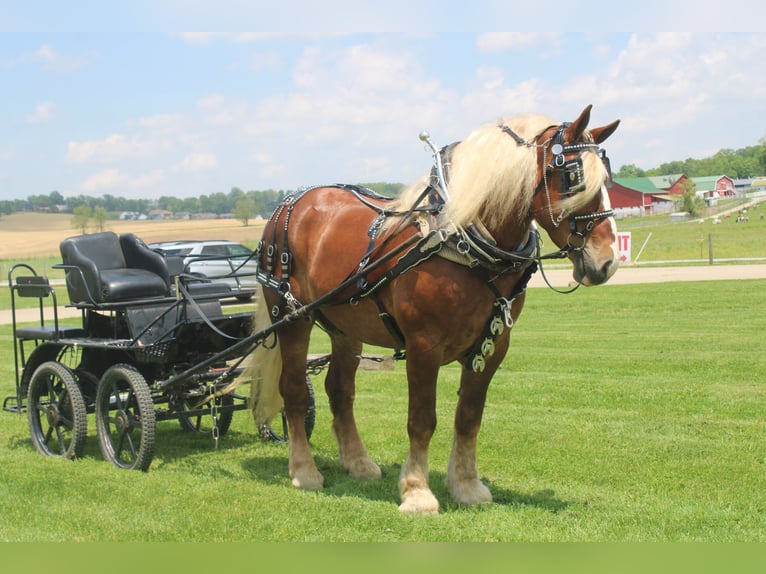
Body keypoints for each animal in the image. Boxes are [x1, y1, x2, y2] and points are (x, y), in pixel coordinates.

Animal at [248, 104, 620, 514]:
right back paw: (304, 471)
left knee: (340, 391)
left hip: (345, 328)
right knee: (294, 391)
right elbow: (422, 420)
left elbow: (469, 417)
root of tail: (289, 204)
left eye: (608, 177)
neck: (461, 239)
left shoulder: (493, 345)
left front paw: (467, 486)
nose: (607, 262)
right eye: (574, 177)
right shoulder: (423, 346)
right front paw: (417, 492)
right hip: (292, 318)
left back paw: (359, 463)